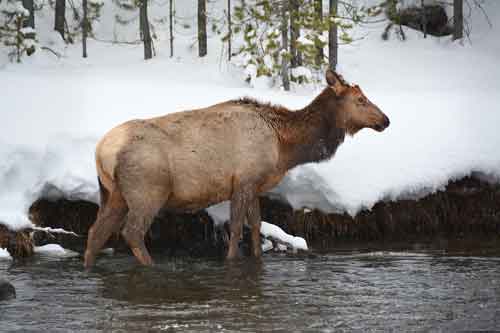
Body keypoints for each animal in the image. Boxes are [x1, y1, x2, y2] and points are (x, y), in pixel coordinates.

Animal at [84, 70, 390, 268]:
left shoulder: (255, 184)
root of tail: (101, 151)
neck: (285, 146)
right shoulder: (243, 181)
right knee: (132, 232)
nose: (386, 120)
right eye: (360, 100)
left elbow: (255, 225)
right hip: (147, 191)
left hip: (113, 193)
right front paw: (232, 262)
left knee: (96, 233)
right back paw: (151, 267)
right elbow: (235, 230)